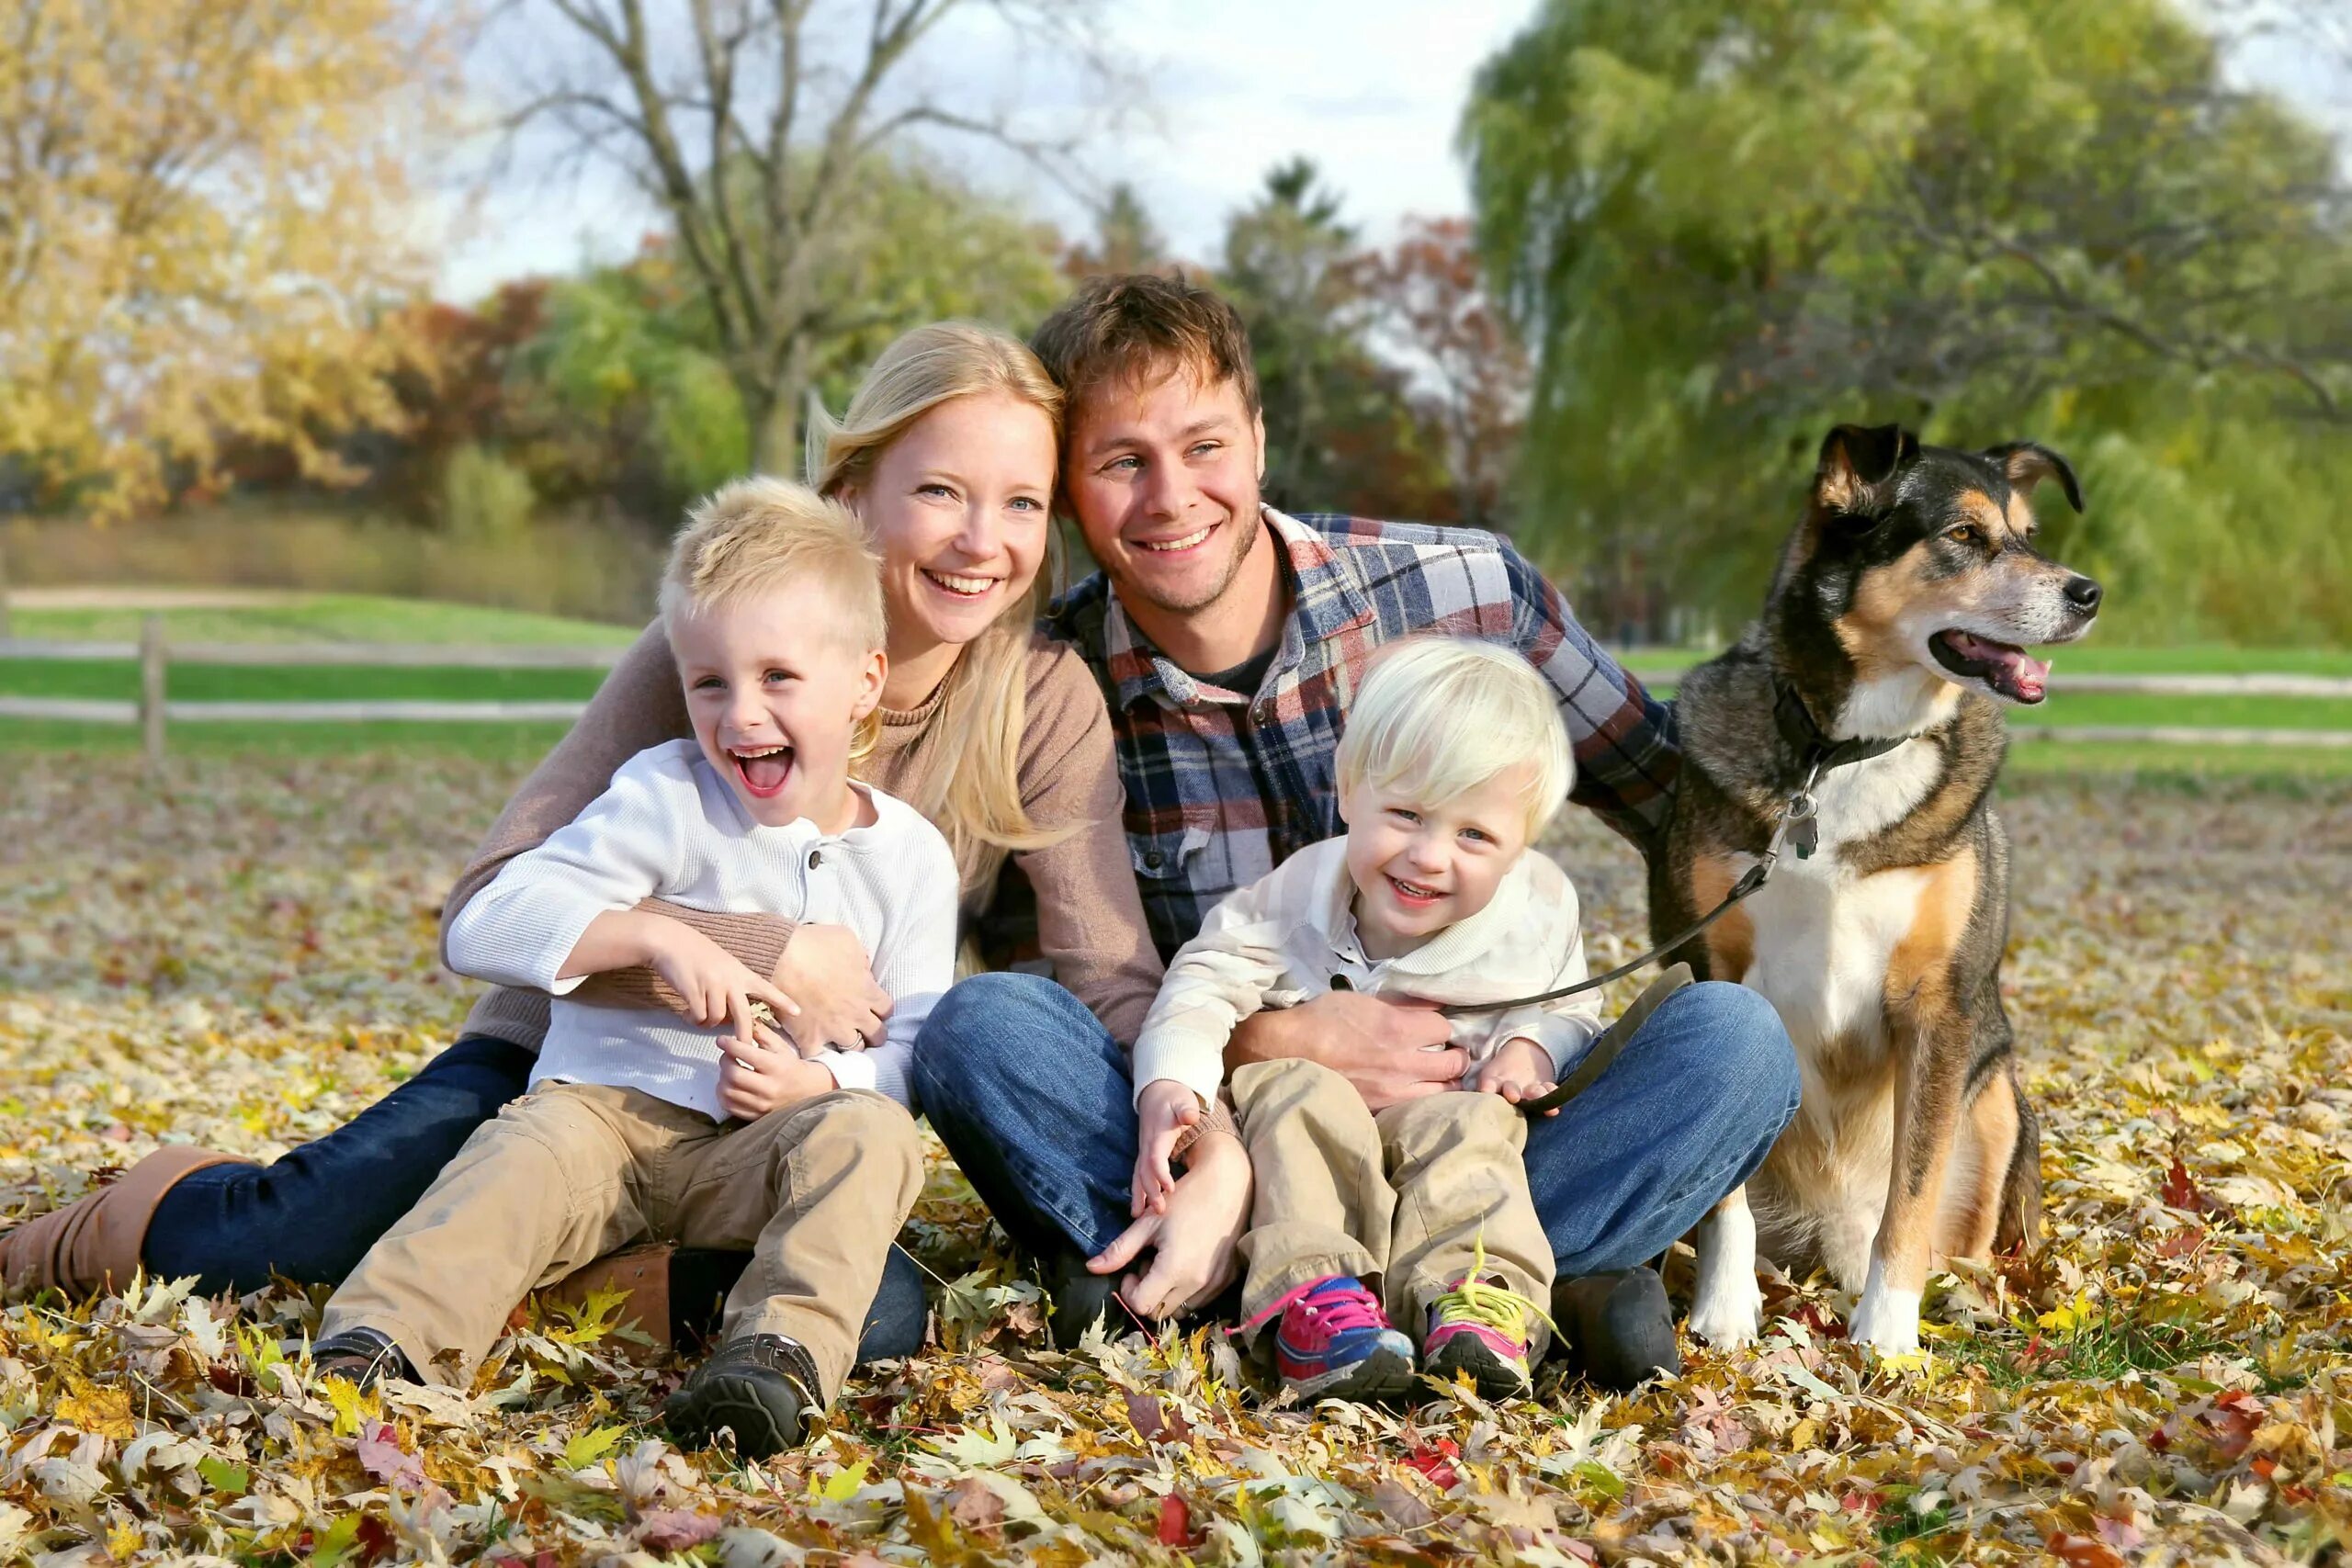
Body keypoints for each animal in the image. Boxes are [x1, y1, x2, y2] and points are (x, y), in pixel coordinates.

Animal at [1646, 423, 2107, 1354]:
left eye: (2029, 535)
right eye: (1964, 535)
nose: (2089, 592)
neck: (1846, 751)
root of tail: (1829, 1234)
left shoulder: (1937, 1002)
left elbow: (1914, 1188)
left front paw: (1887, 1334)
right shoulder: (1711, 970)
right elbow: (1724, 1197)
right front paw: (1723, 1308)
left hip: (1998, 1092)